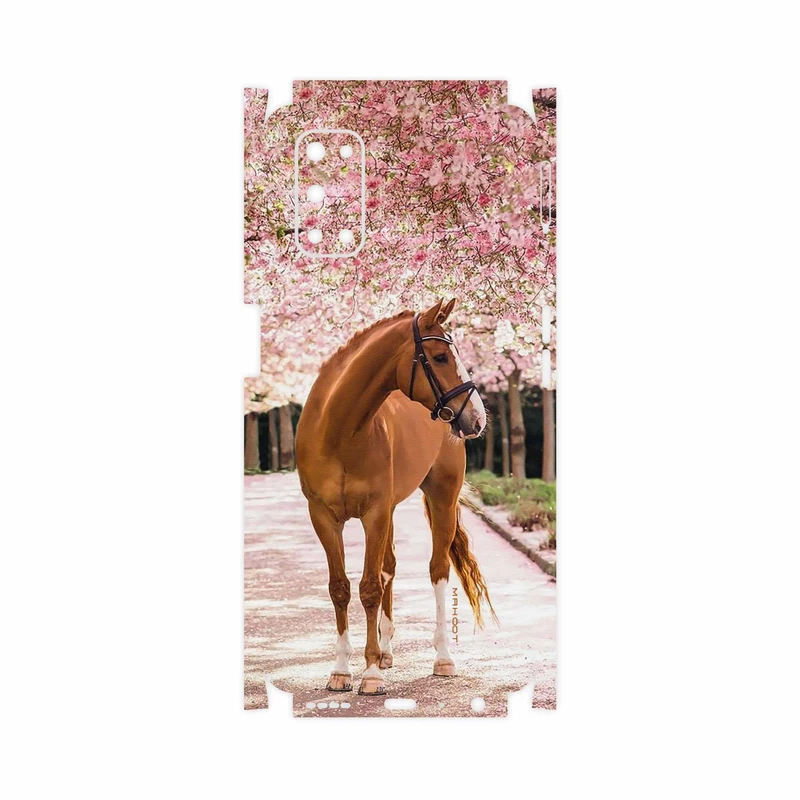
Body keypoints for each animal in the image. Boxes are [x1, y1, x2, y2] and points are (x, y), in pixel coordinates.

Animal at [295, 298, 496, 695]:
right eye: (439, 357)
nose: (477, 418)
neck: (339, 431)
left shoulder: (374, 513)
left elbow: (370, 588)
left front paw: (370, 674)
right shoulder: (324, 517)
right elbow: (340, 588)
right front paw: (341, 671)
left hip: (441, 498)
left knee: (437, 570)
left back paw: (442, 658)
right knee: (389, 567)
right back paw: (386, 651)